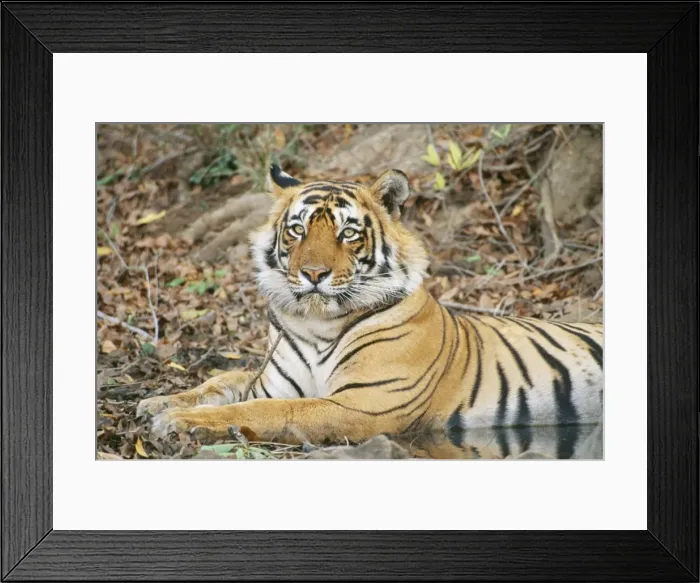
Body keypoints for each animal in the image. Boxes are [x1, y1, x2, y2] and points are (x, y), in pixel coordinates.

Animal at [138, 164, 603, 457]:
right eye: (297, 229)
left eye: (347, 233)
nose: (313, 273)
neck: (315, 322)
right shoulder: (270, 382)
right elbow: (220, 381)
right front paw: (157, 402)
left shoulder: (363, 402)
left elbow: (269, 411)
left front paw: (179, 421)